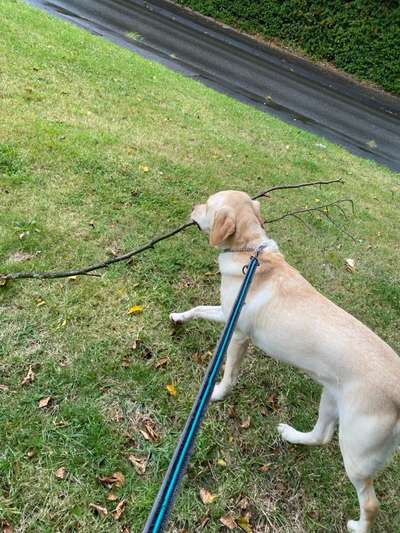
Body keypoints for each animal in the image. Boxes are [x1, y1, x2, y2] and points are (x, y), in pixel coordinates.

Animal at [170, 190, 400, 532]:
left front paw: (217, 393)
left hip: (357, 447)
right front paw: (178, 317)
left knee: (370, 502)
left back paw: (358, 526)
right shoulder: (225, 314)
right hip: (331, 399)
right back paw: (290, 434)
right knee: (320, 436)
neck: (250, 252)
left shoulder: (236, 333)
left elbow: (229, 372)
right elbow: (197, 308)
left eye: (208, 206)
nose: (192, 208)